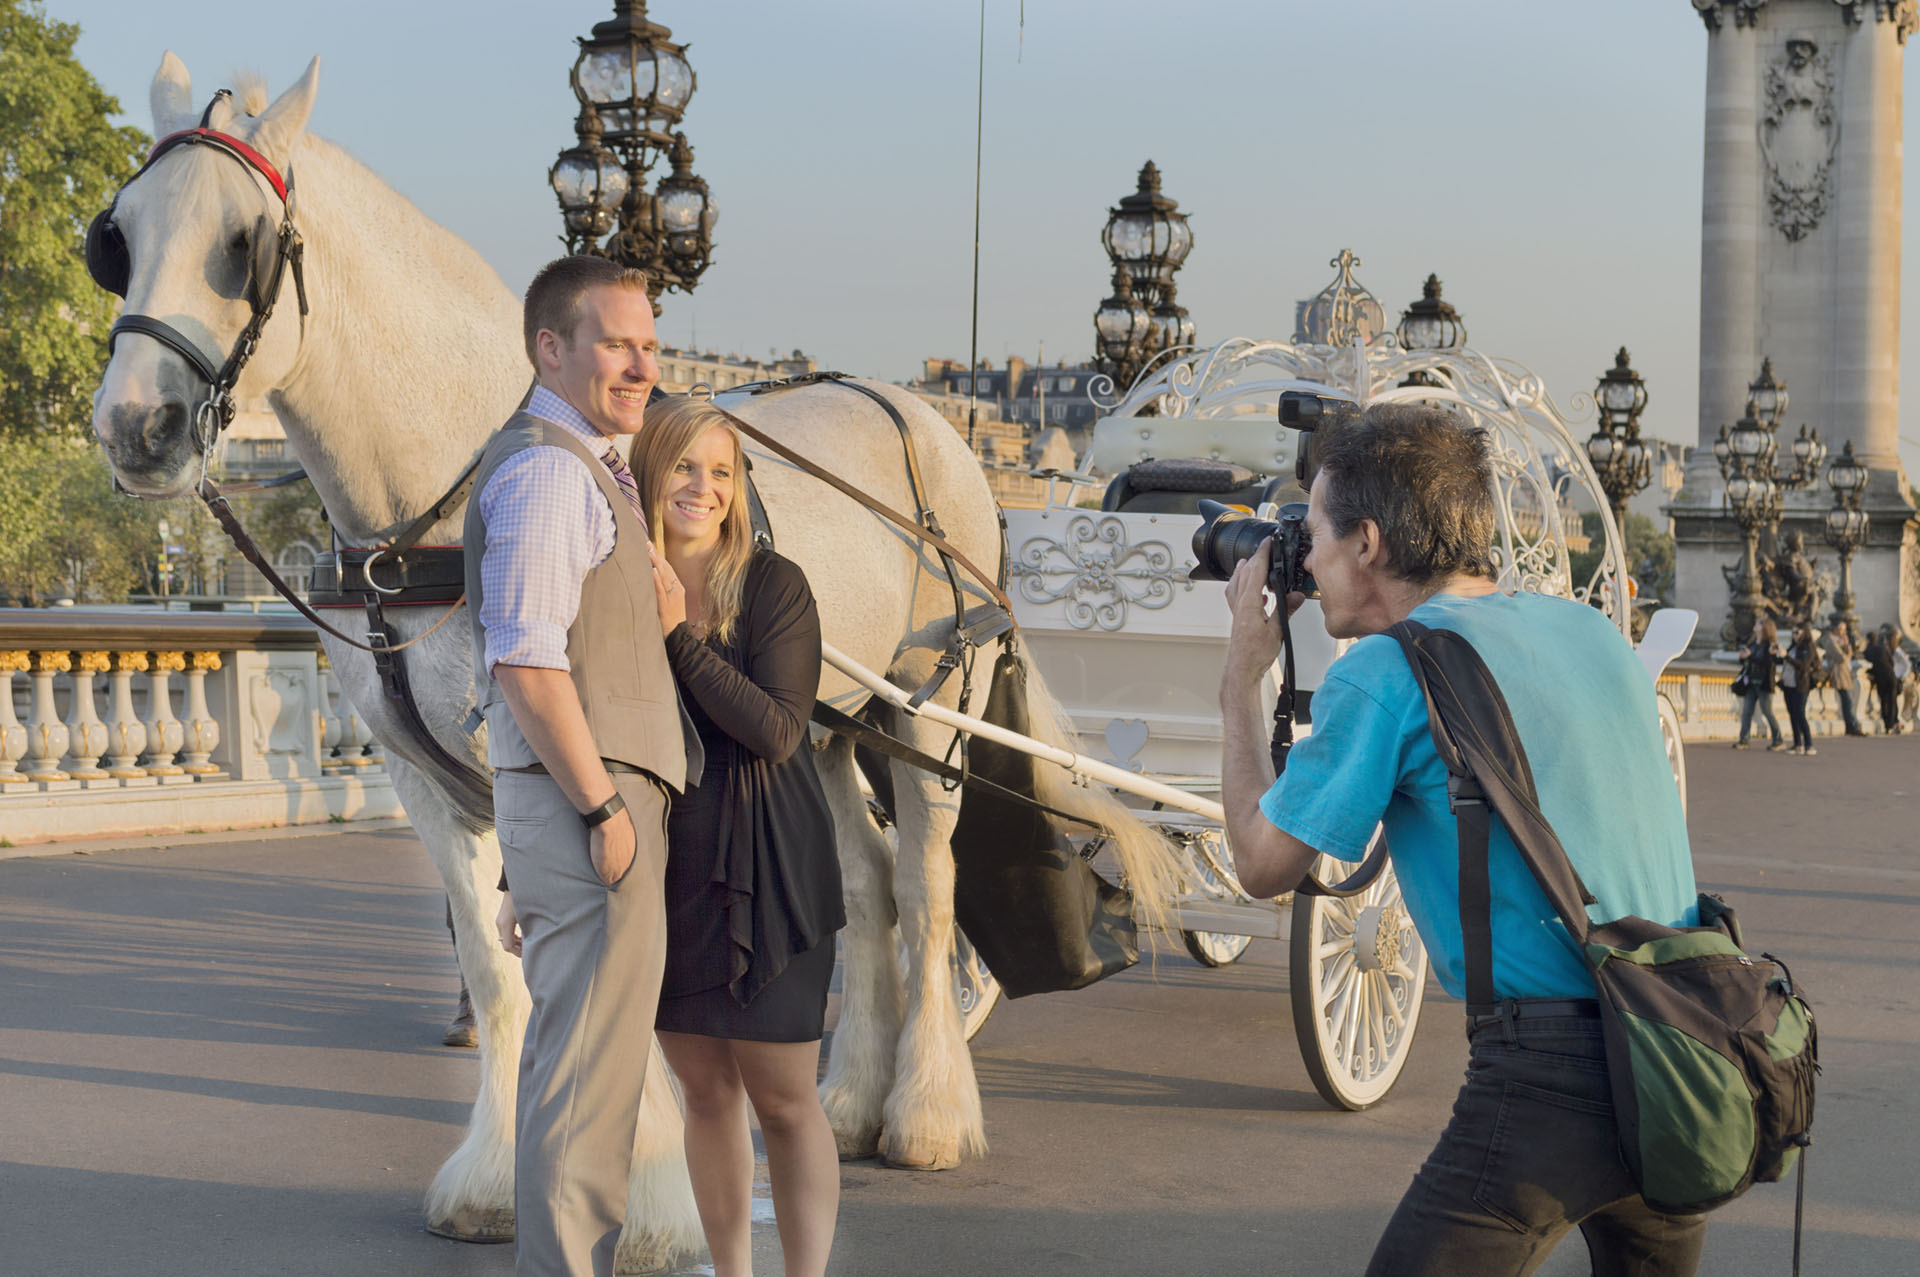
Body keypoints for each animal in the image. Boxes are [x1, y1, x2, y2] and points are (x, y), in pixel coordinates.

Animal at [90, 54, 1175, 1267]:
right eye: (118, 238)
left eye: (242, 244)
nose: (135, 426)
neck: (453, 491)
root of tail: (924, 411)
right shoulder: (433, 784)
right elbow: (500, 981)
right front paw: (498, 1177)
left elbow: (622, 973)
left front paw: (650, 1199)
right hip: (823, 719)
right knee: (861, 885)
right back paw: (848, 1101)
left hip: (926, 713)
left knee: (925, 885)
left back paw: (926, 1114)